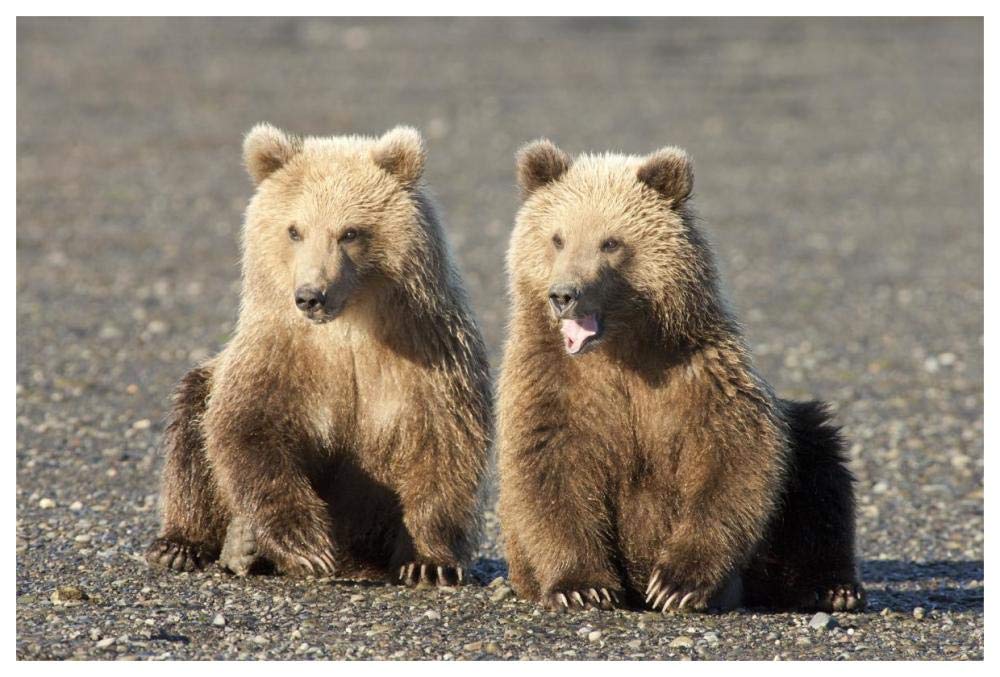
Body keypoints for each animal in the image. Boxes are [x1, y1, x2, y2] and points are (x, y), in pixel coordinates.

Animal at [145, 124, 492, 586]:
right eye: (295, 230)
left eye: (350, 232)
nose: (311, 295)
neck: (350, 325)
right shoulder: (281, 350)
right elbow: (249, 428)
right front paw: (305, 544)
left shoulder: (429, 349)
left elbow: (444, 442)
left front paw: (429, 562)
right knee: (190, 426)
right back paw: (195, 545)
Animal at [496, 139, 864, 613]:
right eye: (557, 238)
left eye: (610, 242)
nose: (564, 294)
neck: (621, 349)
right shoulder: (551, 381)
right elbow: (548, 469)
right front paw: (583, 586)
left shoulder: (698, 372)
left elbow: (734, 457)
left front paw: (676, 583)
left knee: (820, 467)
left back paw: (832, 587)